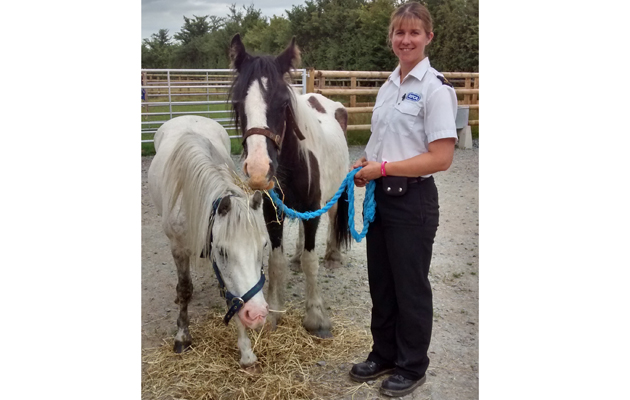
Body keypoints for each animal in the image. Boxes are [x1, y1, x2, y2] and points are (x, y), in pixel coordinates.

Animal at [149, 115, 272, 366]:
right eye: (223, 251)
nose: (257, 314)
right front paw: (182, 337)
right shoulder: (179, 249)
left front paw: (246, 352)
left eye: (264, 246)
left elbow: (233, 296)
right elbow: (184, 290)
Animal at [231, 36, 354, 340]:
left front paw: (316, 318)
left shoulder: (313, 207)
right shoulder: (272, 210)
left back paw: (332, 254)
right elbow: (276, 262)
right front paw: (274, 312)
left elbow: (312, 262)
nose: (259, 169)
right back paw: (297, 255)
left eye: (283, 102)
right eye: (238, 101)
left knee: (333, 217)